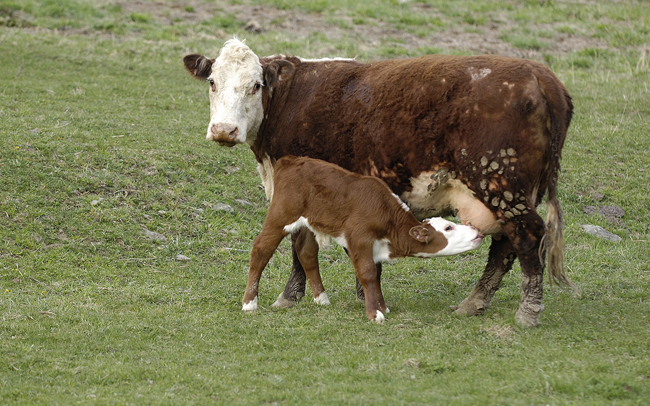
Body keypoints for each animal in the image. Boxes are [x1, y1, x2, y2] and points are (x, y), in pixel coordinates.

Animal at [243, 155, 484, 322]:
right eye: (448, 227)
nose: (477, 230)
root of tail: (291, 160)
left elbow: (376, 275)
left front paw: (383, 306)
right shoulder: (359, 237)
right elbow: (367, 273)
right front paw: (374, 313)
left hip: (311, 222)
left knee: (306, 252)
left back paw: (321, 298)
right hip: (281, 215)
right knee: (261, 248)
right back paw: (249, 303)